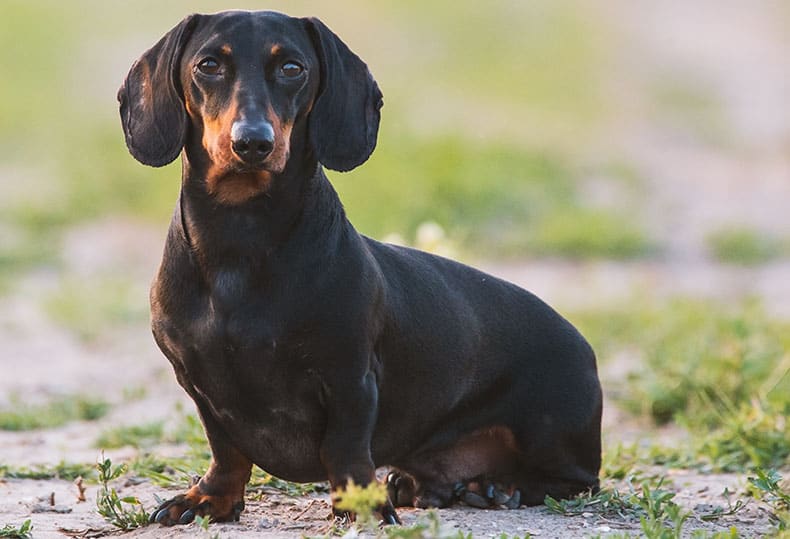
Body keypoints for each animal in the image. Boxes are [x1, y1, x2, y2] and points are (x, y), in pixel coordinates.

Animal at [117, 9, 604, 528]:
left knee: (575, 480)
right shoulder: (199, 384)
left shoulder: (350, 377)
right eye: (208, 65)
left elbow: (346, 447)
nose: (252, 143)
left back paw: (498, 487)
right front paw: (211, 498)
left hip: (550, 431)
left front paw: (361, 504)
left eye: (292, 68)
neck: (240, 239)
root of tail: (585, 346)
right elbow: (226, 449)